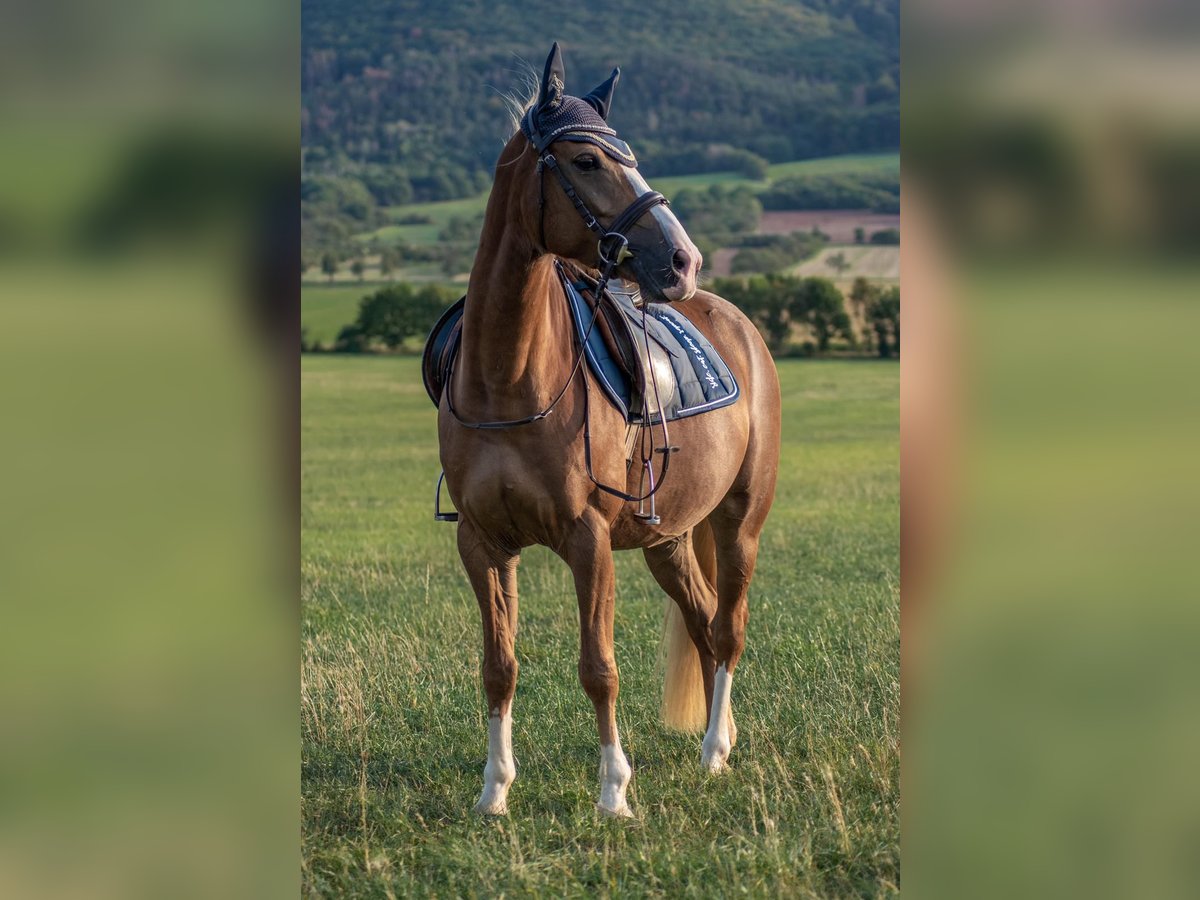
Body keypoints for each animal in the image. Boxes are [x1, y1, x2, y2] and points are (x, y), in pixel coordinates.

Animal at [436, 45, 782, 820]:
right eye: (589, 160)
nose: (683, 261)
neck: (509, 378)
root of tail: (737, 322)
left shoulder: (587, 540)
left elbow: (599, 667)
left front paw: (613, 793)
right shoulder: (482, 543)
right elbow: (498, 666)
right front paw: (493, 791)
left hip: (738, 523)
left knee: (729, 628)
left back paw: (714, 752)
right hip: (668, 539)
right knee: (703, 622)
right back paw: (723, 735)